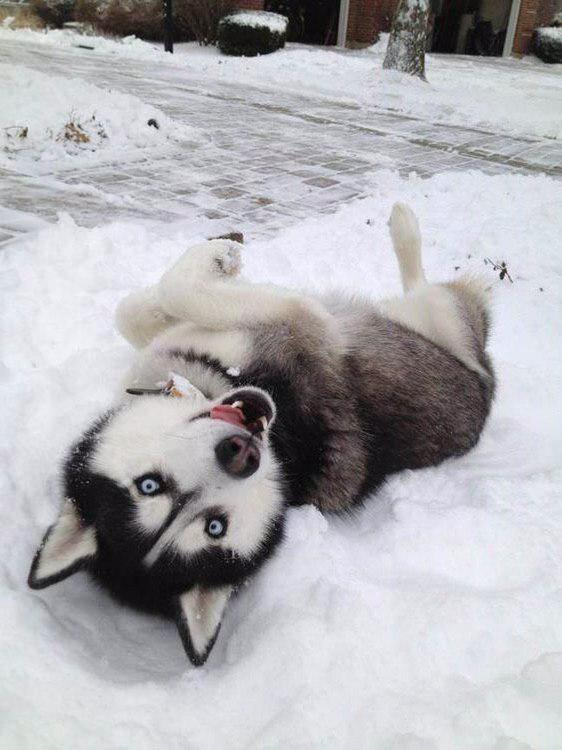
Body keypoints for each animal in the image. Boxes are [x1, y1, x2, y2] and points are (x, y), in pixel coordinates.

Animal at [28, 204, 495, 666]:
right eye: (215, 527)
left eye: (148, 485)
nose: (238, 454)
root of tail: (484, 389)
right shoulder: (302, 321)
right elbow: (176, 295)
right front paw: (216, 260)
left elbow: (145, 307)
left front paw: (213, 262)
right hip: (444, 321)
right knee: (436, 292)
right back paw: (405, 227)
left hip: (430, 320)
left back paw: (400, 223)